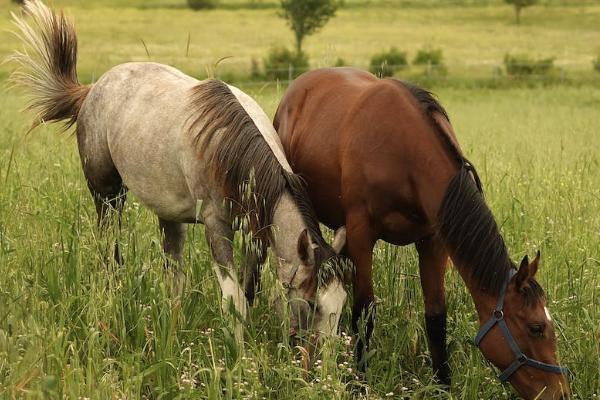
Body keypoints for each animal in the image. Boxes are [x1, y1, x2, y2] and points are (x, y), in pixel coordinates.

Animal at [8, 0, 346, 340]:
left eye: (341, 303)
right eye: (313, 304)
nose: (322, 355)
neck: (230, 153)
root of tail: (91, 90)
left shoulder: (255, 233)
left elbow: (248, 289)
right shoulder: (216, 227)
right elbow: (234, 298)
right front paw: (237, 351)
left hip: (166, 214)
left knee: (173, 275)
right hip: (107, 197)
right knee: (110, 254)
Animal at [274, 67, 568, 398]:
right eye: (536, 328)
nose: (561, 393)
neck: (404, 152)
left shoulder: (433, 242)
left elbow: (436, 316)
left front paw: (443, 385)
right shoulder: (362, 235)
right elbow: (365, 312)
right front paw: (360, 381)